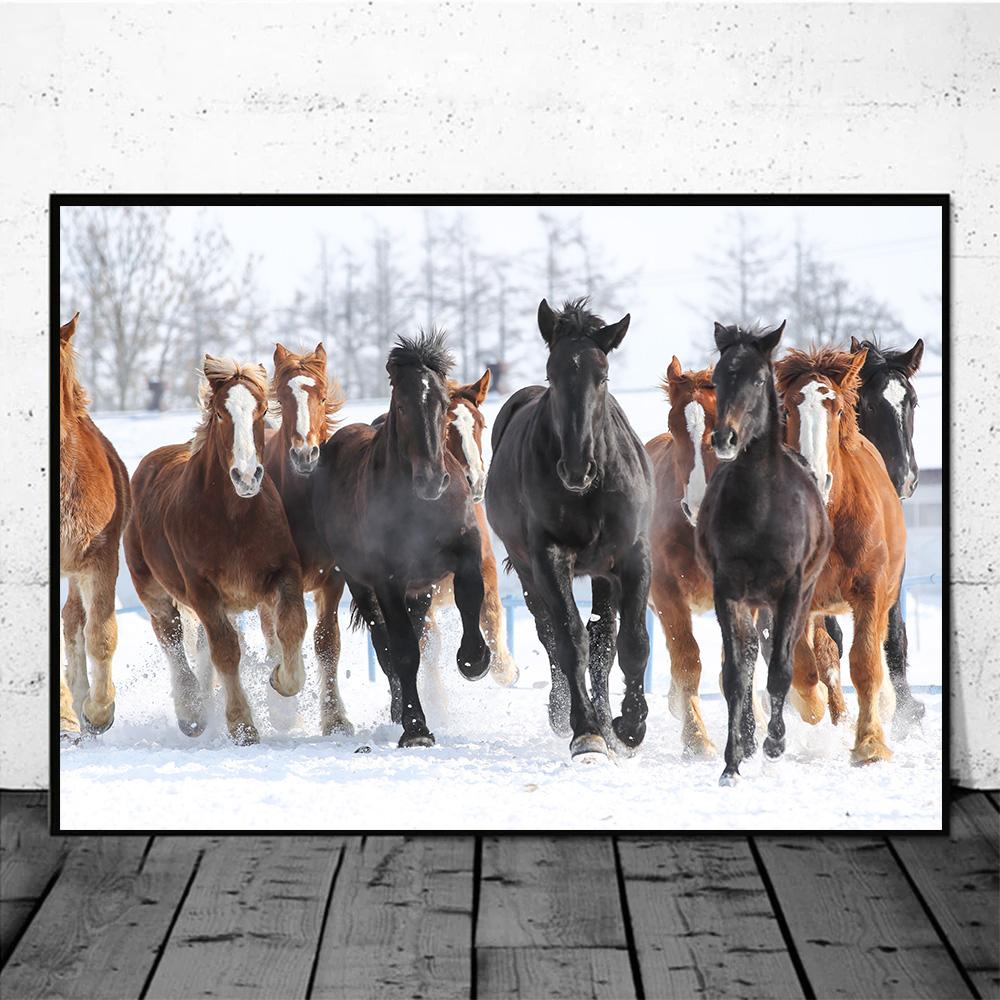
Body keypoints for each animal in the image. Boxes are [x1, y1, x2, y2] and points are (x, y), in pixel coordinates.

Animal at [124, 356, 308, 745]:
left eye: (262, 409)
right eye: (222, 414)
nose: (247, 476)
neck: (234, 518)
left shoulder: (283, 572)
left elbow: (292, 626)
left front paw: (281, 692)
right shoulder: (202, 590)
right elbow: (226, 651)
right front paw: (242, 725)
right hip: (154, 592)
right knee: (172, 641)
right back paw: (191, 712)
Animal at [311, 331, 490, 748]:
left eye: (442, 403)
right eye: (403, 405)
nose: (431, 481)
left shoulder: (464, 555)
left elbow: (470, 598)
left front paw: (474, 660)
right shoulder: (387, 580)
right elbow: (403, 650)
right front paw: (416, 729)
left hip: (419, 590)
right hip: (361, 583)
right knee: (387, 646)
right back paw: (398, 712)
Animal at [486, 298, 653, 760]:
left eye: (604, 375)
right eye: (552, 374)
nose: (577, 468)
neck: (589, 492)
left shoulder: (631, 557)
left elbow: (631, 643)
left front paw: (627, 727)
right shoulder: (548, 558)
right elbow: (568, 638)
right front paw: (586, 731)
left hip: (601, 572)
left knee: (603, 641)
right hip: (528, 569)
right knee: (552, 635)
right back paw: (568, 714)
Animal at [695, 322, 832, 785]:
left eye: (757, 379)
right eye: (717, 379)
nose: (725, 438)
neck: (761, 508)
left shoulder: (790, 590)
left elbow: (781, 671)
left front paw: (775, 743)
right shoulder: (728, 591)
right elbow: (738, 676)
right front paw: (732, 762)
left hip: (796, 597)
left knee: (778, 656)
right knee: (755, 651)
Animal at [775, 345, 906, 765]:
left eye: (833, 408)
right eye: (788, 409)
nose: (816, 478)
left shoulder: (870, 591)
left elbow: (865, 665)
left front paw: (870, 744)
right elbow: (805, 666)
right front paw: (812, 706)